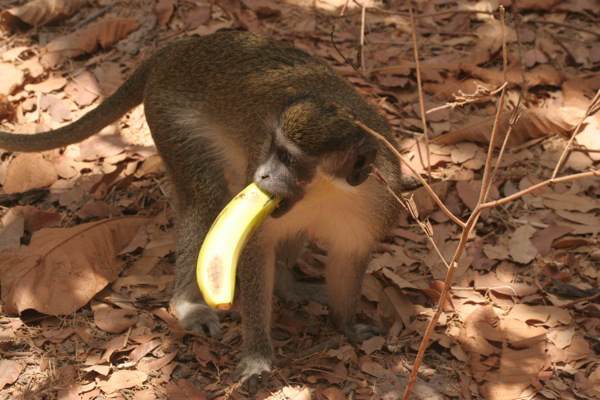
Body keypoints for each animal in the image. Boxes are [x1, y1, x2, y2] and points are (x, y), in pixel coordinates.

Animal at [0, 30, 406, 390]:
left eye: (289, 159)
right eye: (274, 149)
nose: (262, 175)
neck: (330, 194)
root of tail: (181, 49)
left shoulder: (376, 206)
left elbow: (348, 260)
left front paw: (347, 325)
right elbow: (254, 250)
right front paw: (258, 356)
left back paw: (287, 284)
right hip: (171, 119)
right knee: (207, 198)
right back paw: (187, 305)